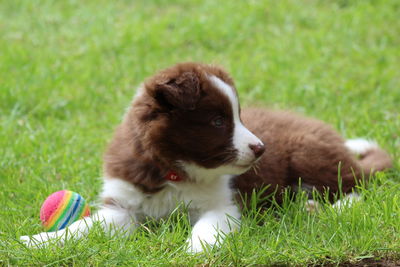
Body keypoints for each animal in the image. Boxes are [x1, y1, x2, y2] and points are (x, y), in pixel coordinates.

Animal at [21, 62, 390, 253]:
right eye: (217, 121)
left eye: (238, 116)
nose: (261, 148)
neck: (171, 172)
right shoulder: (123, 206)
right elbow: (85, 226)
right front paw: (39, 241)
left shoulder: (222, 205)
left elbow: (207, 228)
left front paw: (194, 250)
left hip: (308, 152)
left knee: (356, 184)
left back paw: (328, 207)